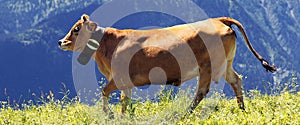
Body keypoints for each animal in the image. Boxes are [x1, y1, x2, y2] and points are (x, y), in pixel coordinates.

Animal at [58, 14, 276, 117]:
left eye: (76, 29)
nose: (61, 42)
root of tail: (218, 20)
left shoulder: (118, 77)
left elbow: (105, 91)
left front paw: (108, 114)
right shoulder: (125, 81)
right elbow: (124, 100)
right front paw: (122, 116)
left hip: (209, 65)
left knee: (202, 91)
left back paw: (186, 113)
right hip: (225, 65)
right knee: (236, 81)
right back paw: (242, 109)